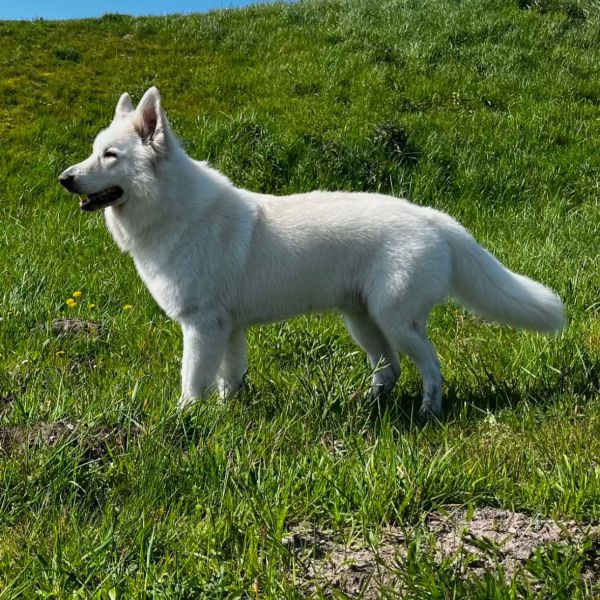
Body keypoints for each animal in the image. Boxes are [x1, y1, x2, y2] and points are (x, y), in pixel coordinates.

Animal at [58, 86, 564, 420]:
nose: (64, 178)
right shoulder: (227, 329)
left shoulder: (201, 327)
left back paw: (427, 413)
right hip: (364, 323)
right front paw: (228, 417)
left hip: (396, 322)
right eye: (94, 151)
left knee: (430, 367)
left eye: (110, 155)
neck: (174, 210)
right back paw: (364, 407)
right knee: (389, 371)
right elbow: (229, 380)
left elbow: (193, 381)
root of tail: (435, 219)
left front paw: (184, 420)